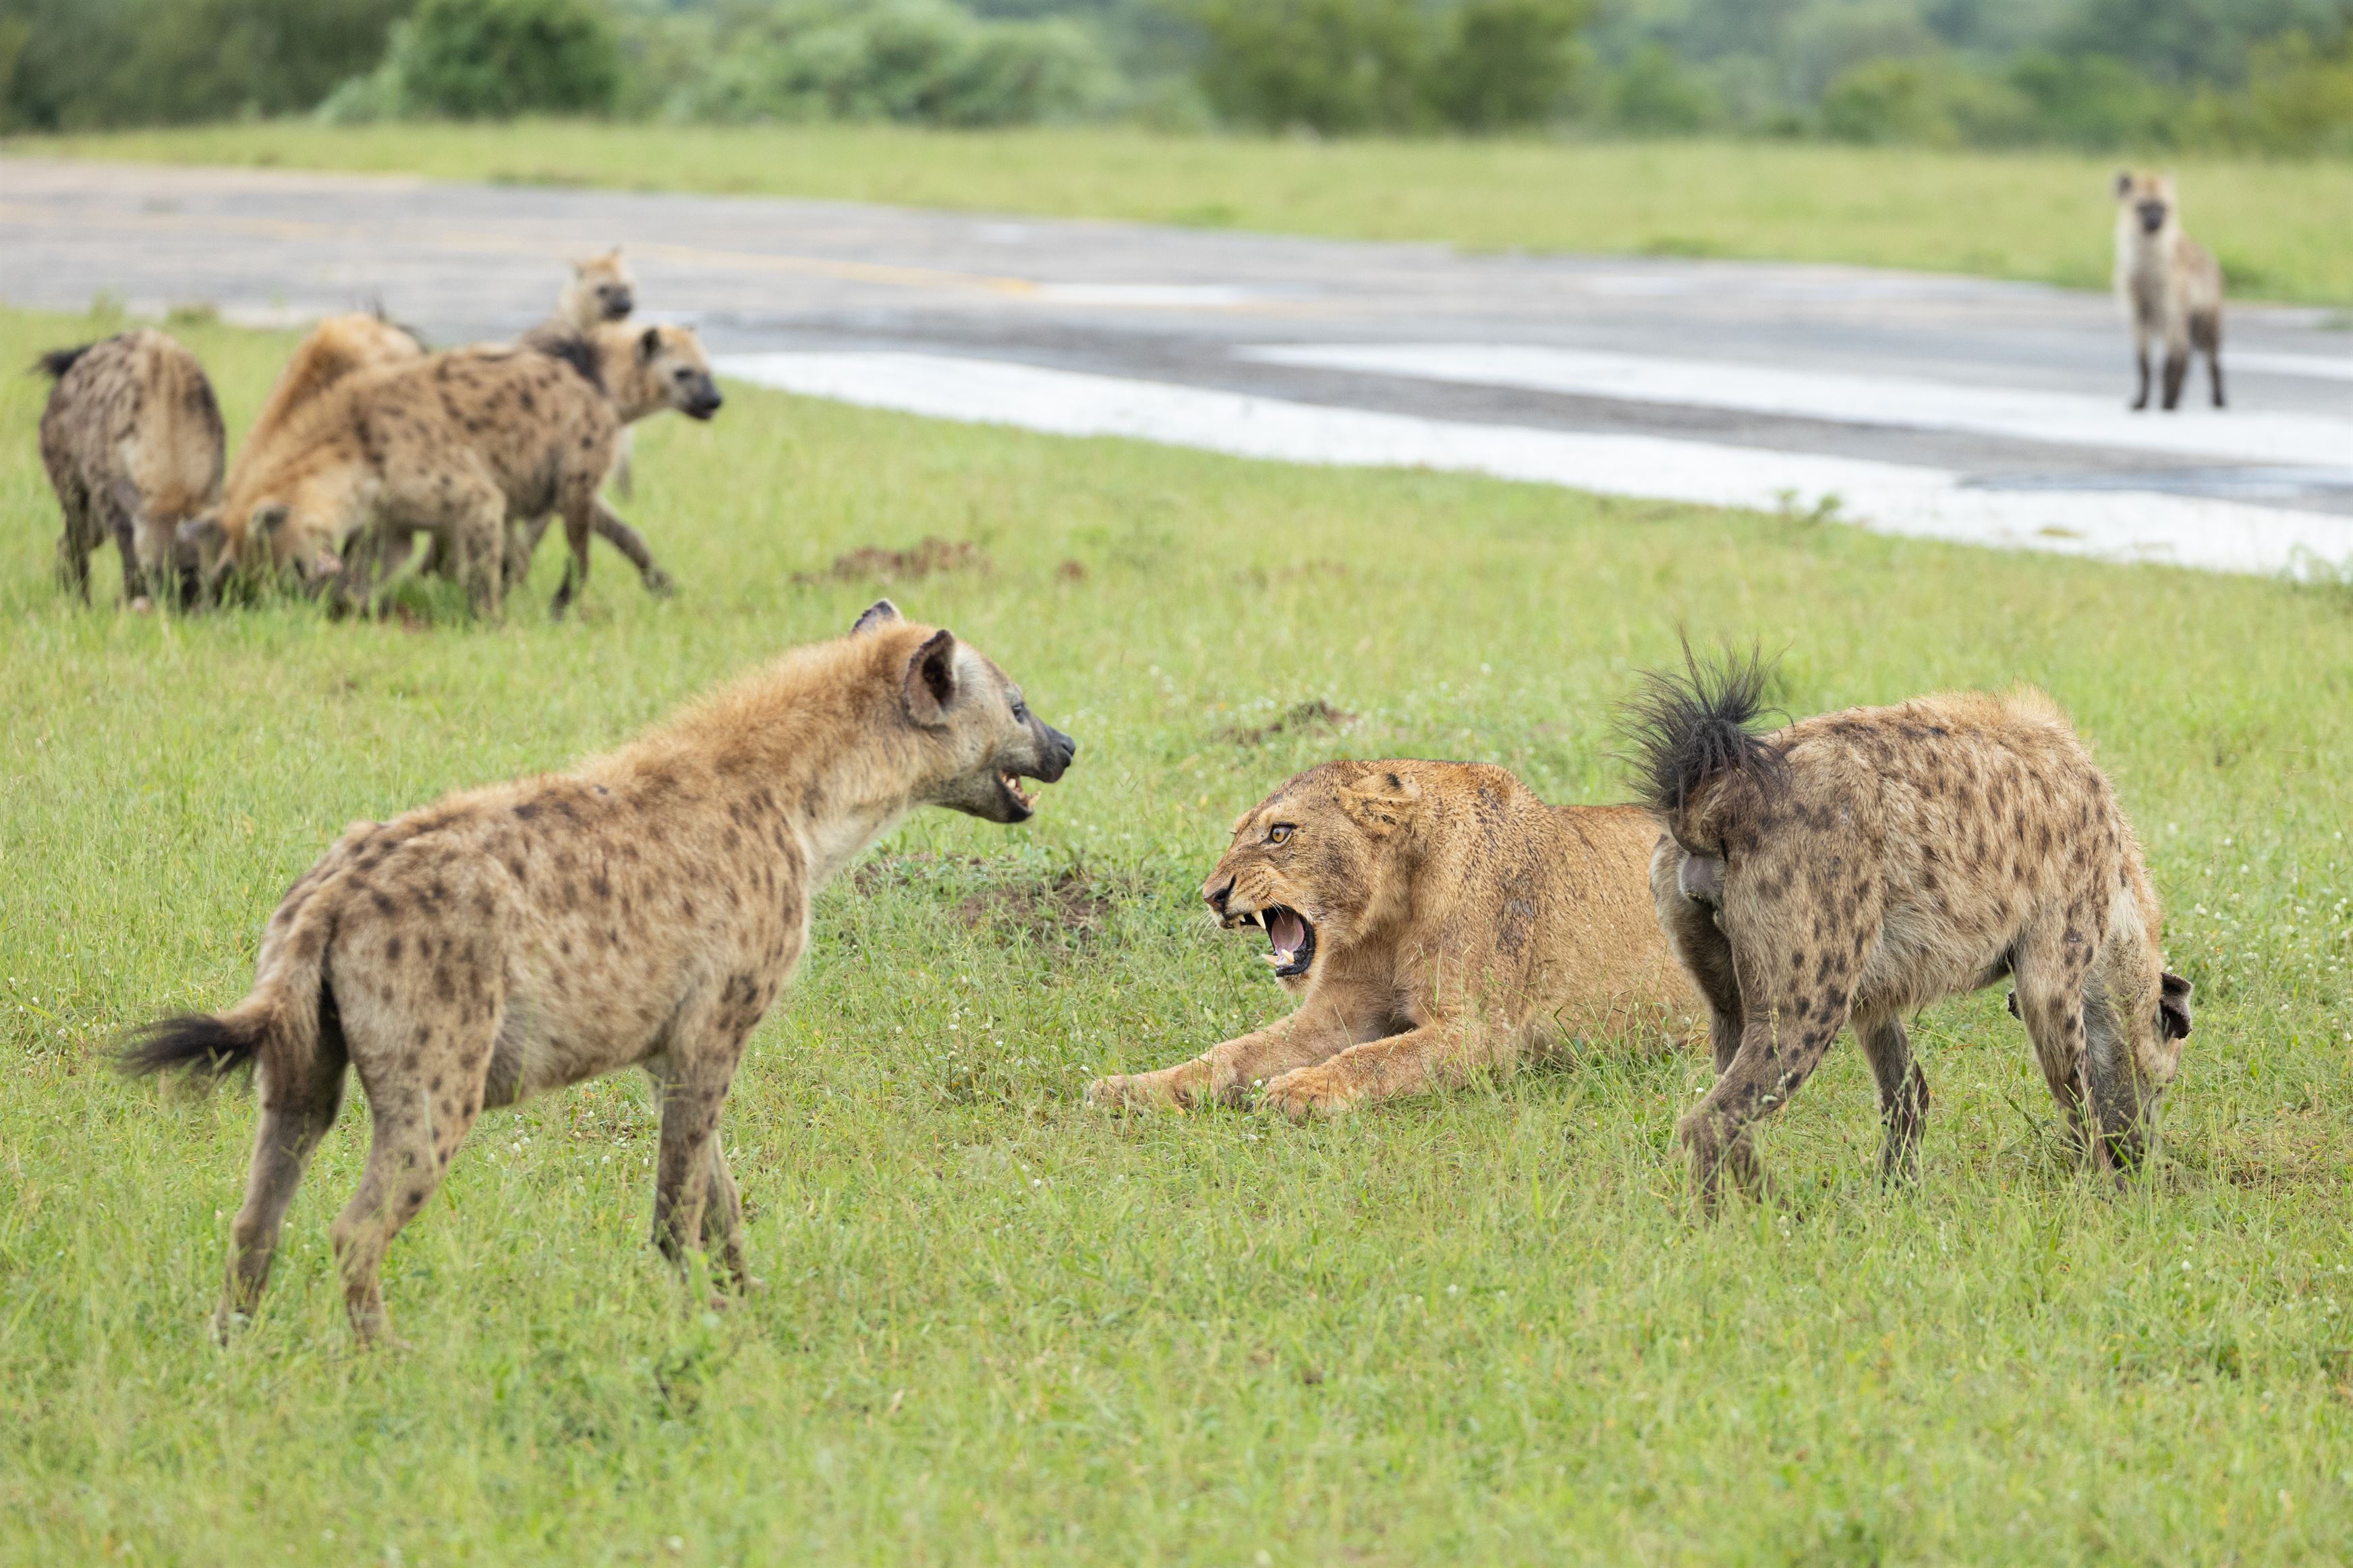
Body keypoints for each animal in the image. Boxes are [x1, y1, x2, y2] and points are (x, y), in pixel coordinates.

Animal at [1082, 757, 1694, 1114]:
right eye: (1237, 834)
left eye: (1280, 833)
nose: (1211, 895)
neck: (1389, 910)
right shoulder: (1334, 1015)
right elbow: (1232, 1051)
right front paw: (1130, 1088)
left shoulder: (1481, 1033)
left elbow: (1372, 1059)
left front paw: (1300, 1089)